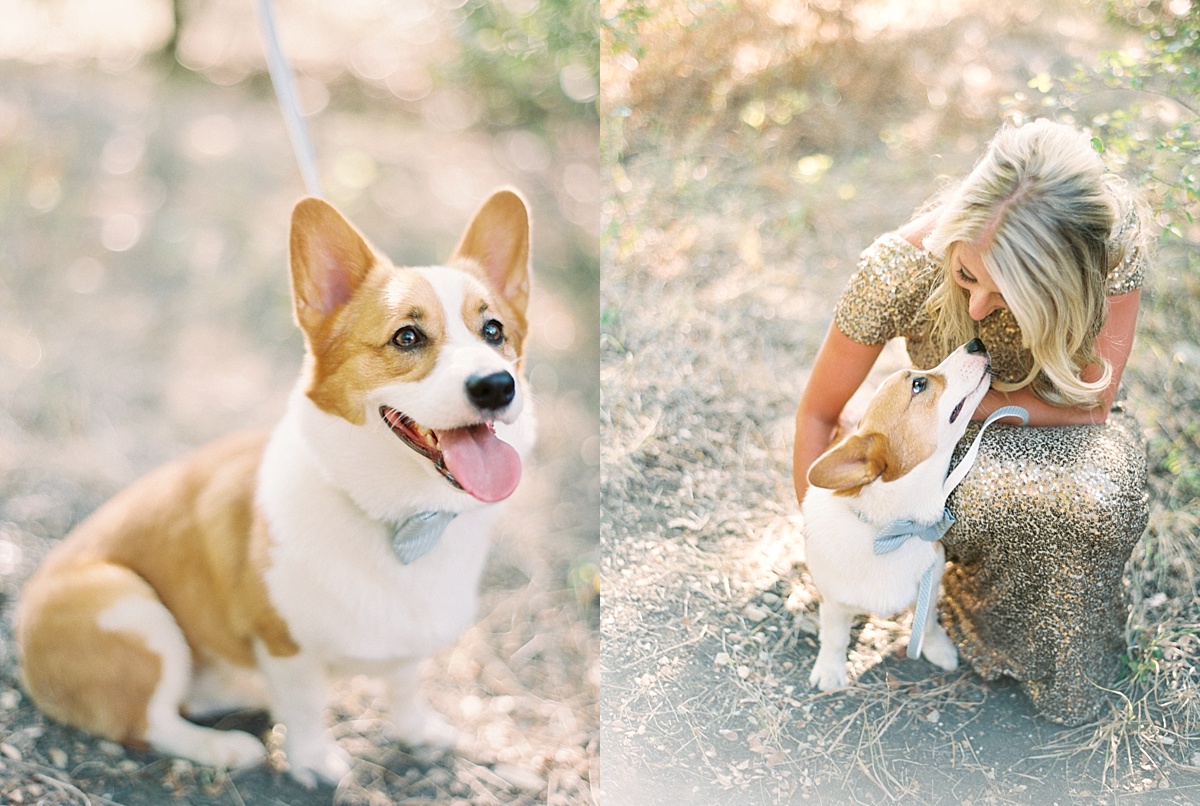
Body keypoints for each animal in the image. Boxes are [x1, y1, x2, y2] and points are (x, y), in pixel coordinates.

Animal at [14, 190, 537, 786]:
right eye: (407, 337)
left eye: (494, 331)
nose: (497, 385)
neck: (405, 519)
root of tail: (22, 641)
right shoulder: (286, 647)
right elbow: (307, 707)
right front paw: (314, 762)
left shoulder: (407, 644)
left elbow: (405, 685)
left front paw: (418, 731)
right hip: (127, 606)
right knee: (149, 722)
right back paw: (225, 748)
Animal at [801, 335, 988, 690]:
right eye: (918, 384)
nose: (977, 343)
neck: (894, 528)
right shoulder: (835, 603)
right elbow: (835, 637)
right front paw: (830, 671)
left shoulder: (929, 585)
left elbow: (927, 623)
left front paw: (938, 649)